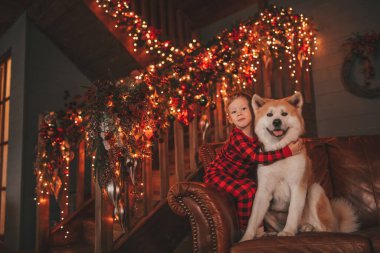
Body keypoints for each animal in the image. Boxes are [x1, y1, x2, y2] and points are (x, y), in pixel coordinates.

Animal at [239, 92, 358, 241]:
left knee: (324, 228)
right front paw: (245, 238)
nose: (276, 122)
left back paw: (308, 228)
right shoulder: (263, 192)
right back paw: (272, 232)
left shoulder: (297, 186)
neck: (280, 152)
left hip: (315, 190)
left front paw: (288, 231)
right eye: (269, 115)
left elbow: (293, 212)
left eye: (284, 114)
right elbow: (253, 219)